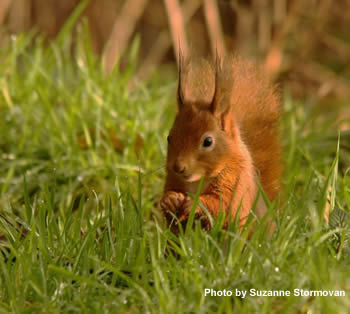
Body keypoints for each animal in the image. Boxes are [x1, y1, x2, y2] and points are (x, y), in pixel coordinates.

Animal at [160, 54, 280, 231]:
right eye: (169, 138)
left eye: (208, 141)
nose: (178, 167)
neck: (198, 179)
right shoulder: (173, 179)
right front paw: (171, 199)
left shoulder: (235, 182)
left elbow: (222, 206)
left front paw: (195, 204)